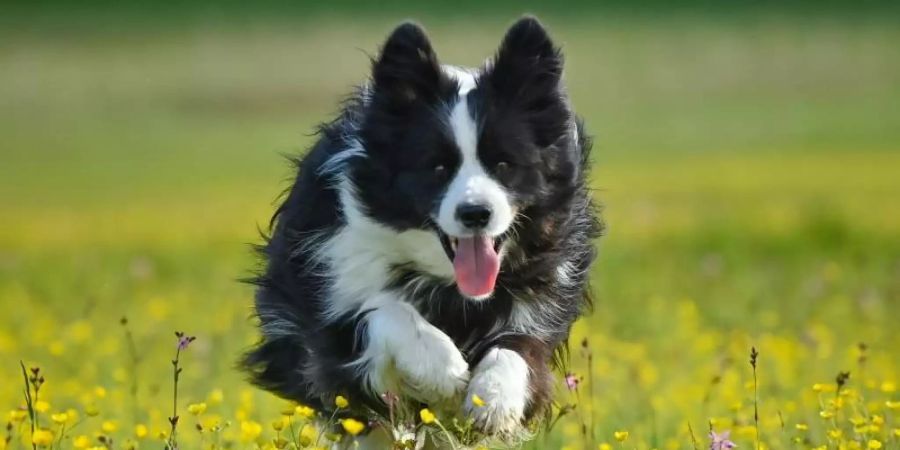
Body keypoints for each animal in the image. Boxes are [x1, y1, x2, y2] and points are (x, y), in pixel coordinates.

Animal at [243, 16, 600, 440]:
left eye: (505, 164)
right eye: (438, 167)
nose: (475, 213)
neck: (451, 287)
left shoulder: (540, 295)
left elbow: (521, 347)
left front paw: (494, 399)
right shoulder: (331, 301)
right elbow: (383, 312)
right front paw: (443, 369)